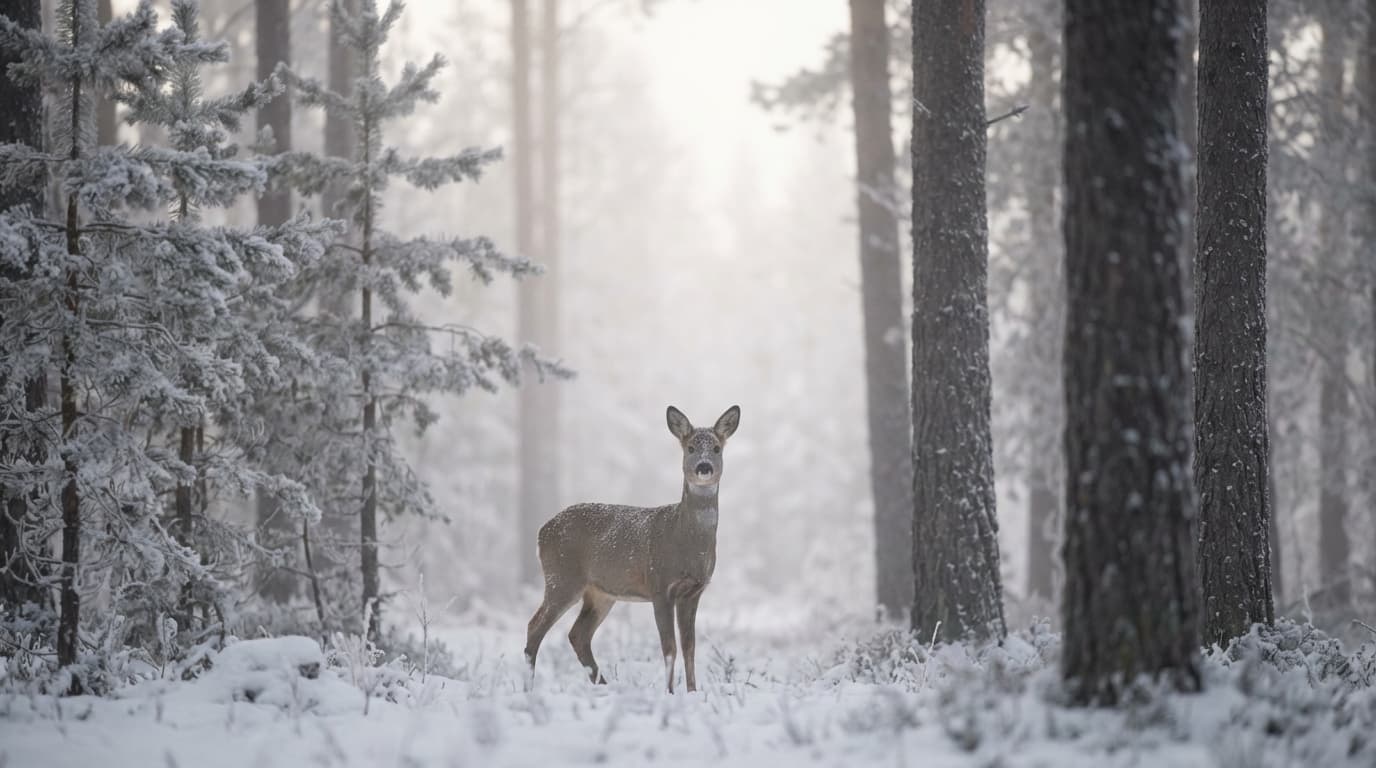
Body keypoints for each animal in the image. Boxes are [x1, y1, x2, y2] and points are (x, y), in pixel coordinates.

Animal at [524, 405, 741, 694]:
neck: (686, 543)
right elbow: (669, 647)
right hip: (562, 577)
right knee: (535, 626)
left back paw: (604, 686)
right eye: (691, 447)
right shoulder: (660, 585)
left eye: (717, 448)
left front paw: (692, 692)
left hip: (600, 593)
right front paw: (669, 692)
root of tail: (541, 532)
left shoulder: (694, 591)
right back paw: (528, 688)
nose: (703, 467)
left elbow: (689, 648)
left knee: (578, 634)